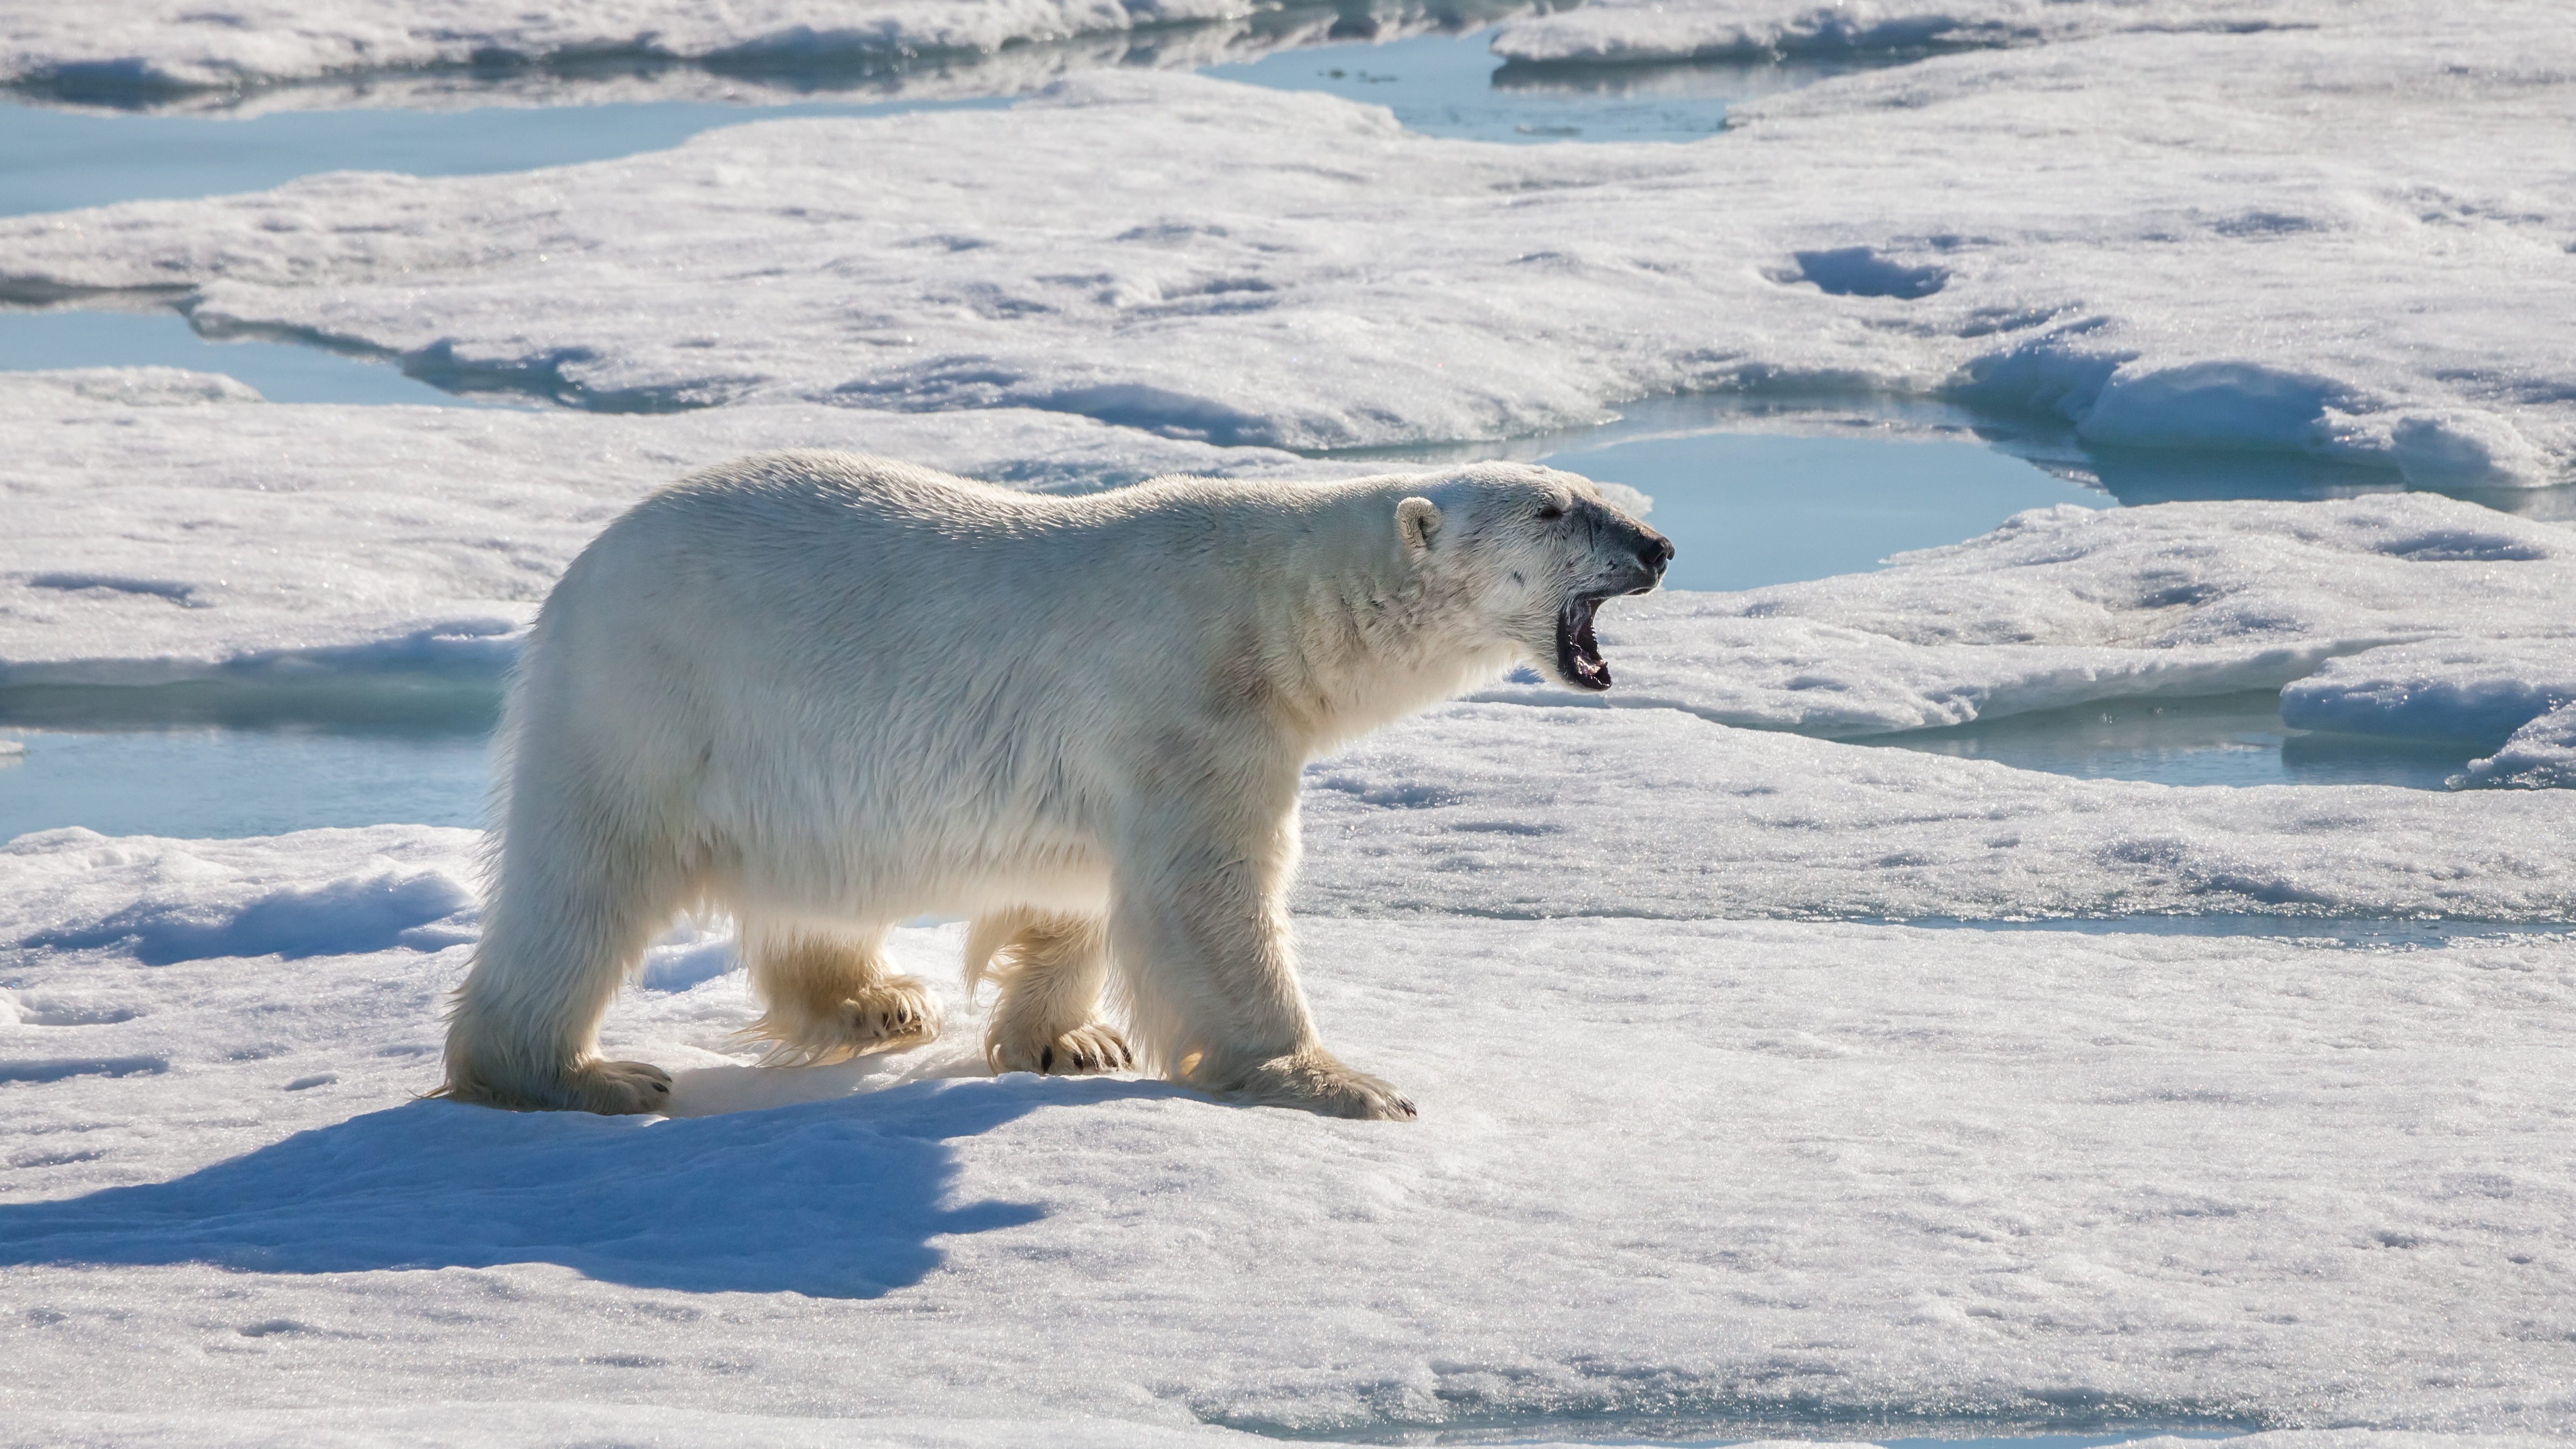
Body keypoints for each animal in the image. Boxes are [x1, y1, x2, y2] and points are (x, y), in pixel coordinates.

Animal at [443, 450, 1669, 1122]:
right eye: (1552, 510)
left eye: (1595, 491)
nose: (1657, 544)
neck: (1277, 613)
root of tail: (579, 573)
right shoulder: (1190, 702)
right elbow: (1207, 898)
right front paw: (1333, 1079)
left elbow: (1081, 884)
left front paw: (1066, 1041)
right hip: (653, 701)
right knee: (582, 886)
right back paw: (578, 1074)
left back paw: (873, 999)